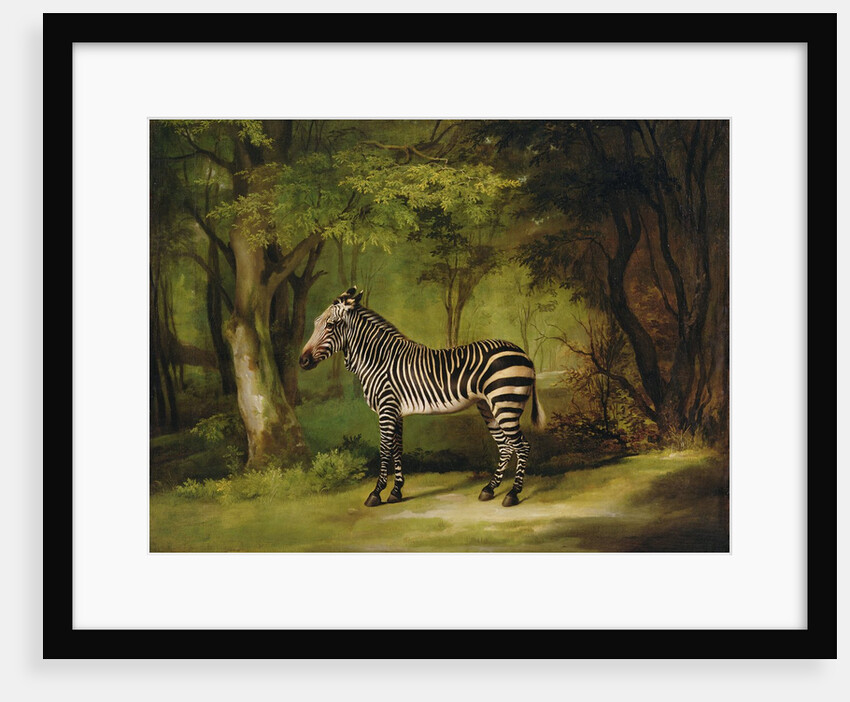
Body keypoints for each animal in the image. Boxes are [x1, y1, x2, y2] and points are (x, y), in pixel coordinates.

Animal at [299, 287, 546, 507]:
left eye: (331, 325)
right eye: (316, 323)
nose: (302, 361)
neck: (378, 360)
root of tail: (524, 353)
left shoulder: (386, 408)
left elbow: (384, 450)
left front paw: (376, 493)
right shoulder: (396, 411)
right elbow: (397, 449)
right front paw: (396, 492)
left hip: (505, 403)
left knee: (522, 446)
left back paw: (512, 494)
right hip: (488, 406)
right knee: (506, 447)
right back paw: (489, 489)